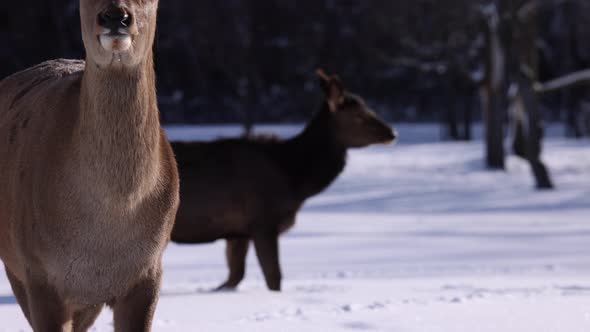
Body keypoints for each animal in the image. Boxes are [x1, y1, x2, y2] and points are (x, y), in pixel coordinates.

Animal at [171, 70, 398, 290]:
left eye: (368, 109)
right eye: (359, 115)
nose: (392, 133)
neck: (294, 180)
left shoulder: (238, 231)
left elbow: (233, 278)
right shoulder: (263, 221)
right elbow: (274, 277)